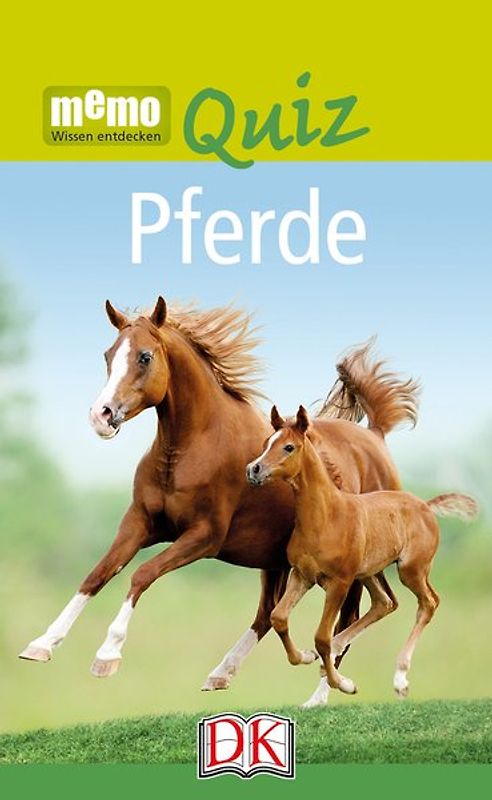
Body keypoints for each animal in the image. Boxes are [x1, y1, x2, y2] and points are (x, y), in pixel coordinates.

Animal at [19, 296, 419, 708]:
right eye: (108, 355)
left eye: (144, 356)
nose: (101, 415)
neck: (192, 447)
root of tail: (375, 437)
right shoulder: (140, 523)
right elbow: (97, 575)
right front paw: (41, 644)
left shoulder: (204, 536)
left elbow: (141, 574)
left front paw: (107, 655)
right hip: (275, 560)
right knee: (268, 614)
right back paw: (222, 672)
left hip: (349, 568)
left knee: (348, 618)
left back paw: (321, 694)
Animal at [247, 405, 478, 698]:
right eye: (267, 442)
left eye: (288, 447)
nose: (253, 469)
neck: (326, 517)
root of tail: (425, 506)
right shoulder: (302, 576)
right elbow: (279, 618)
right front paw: (306, 656)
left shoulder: (339, 582)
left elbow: (321, 637)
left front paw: (343, 683)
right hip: (368, 572)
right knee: (384, 603)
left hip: (410, 570)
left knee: (428, 602)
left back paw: (400, 678)